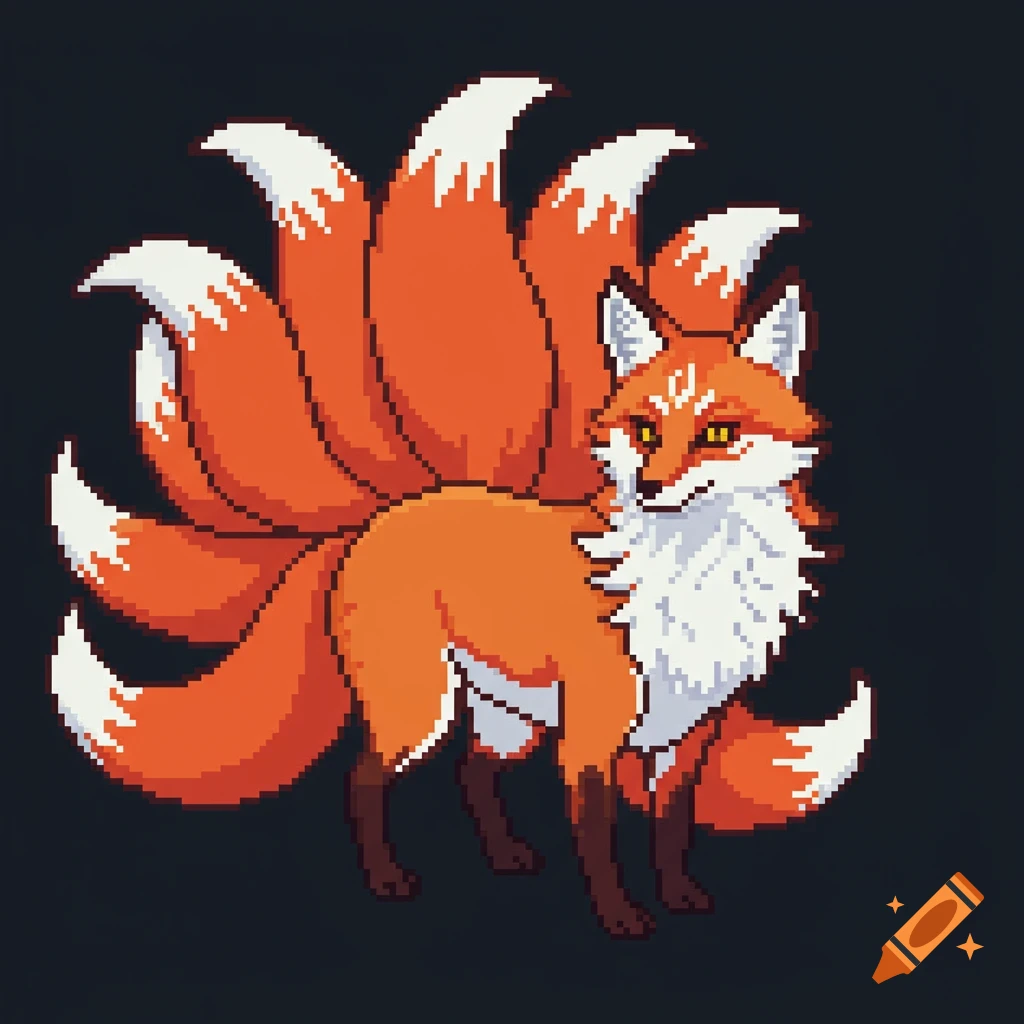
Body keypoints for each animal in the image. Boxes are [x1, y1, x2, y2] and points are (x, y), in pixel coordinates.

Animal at [49, 76, 872, 937]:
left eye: (718, 433)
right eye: (644, 429)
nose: (650, 486)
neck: (695, 585)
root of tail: (396, 512)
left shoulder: (686, 739)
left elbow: (672, 830)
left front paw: (680, 898)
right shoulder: (593, 734)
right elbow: (600, 837)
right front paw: (619, 918)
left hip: (506, 716)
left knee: (473, 771)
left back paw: (504, 858)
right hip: (422, 707)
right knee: (365, 777)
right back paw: (387, 880)